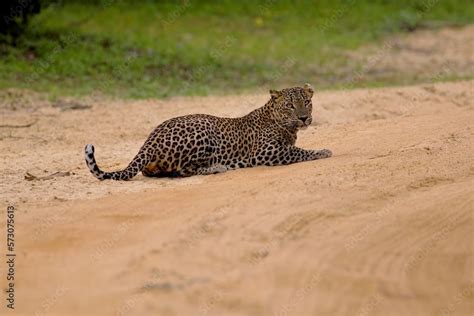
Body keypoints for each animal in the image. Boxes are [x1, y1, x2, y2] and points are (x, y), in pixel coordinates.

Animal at [83, 84, 332, 181]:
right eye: (290, 105)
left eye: (307, 102)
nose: (304, 117)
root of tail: (149, 141)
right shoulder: (266, 153)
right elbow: (299, 152)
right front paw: (323, 152)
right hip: (204, 133)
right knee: (184, 170)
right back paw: (217, 167)